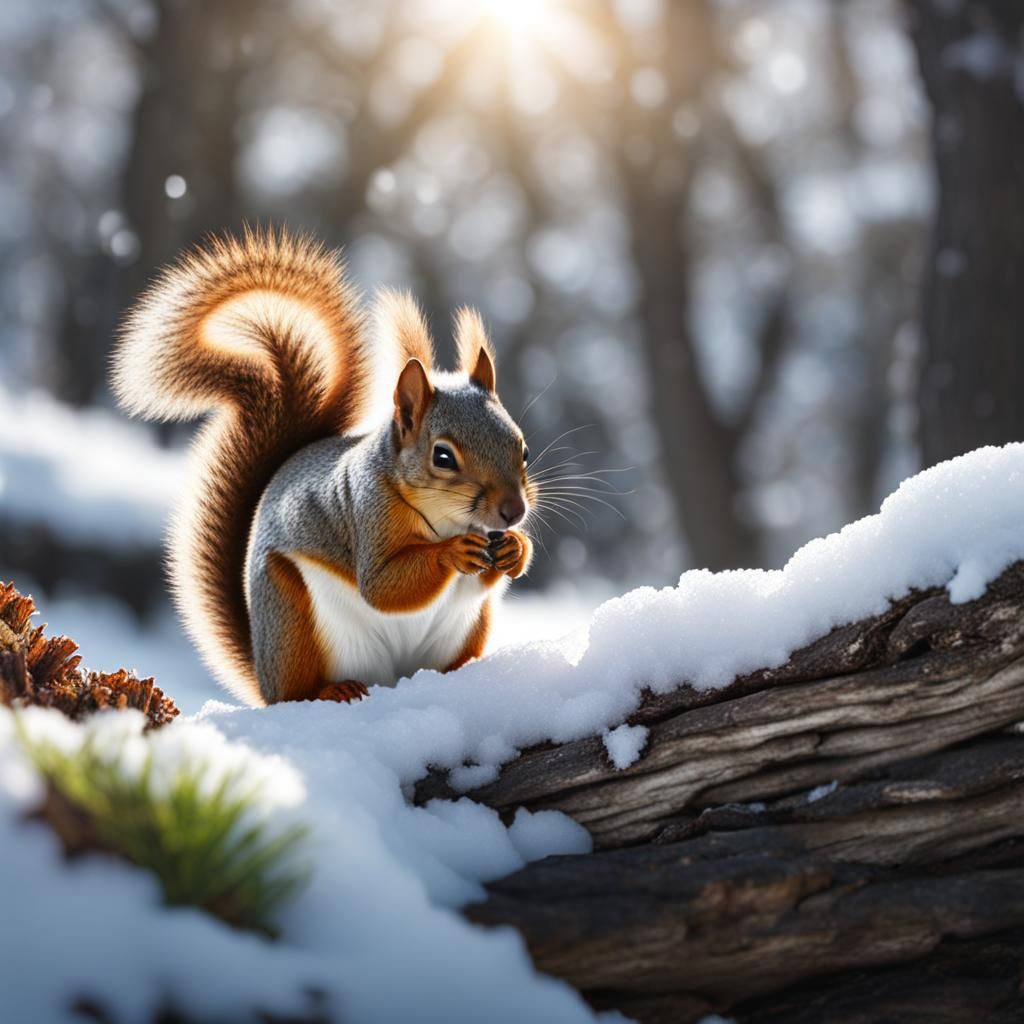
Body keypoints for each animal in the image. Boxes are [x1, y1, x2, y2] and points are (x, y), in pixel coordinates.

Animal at [112, 227, 534, 706]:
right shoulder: (369, 513)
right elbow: (384, 585)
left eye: (522, 448)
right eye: (442, 456)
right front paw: (452, 552)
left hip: (465, 630)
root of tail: (265, 676)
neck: (449, 520)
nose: (513, 511)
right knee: (296, 694)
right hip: (292, 618)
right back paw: (334, 690)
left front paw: (516, 548)